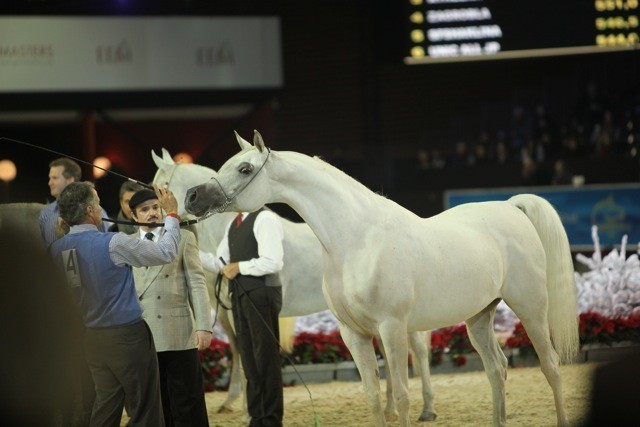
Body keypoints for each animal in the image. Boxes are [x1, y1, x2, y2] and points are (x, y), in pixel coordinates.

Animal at [151, 149, 437, 422]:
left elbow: (245, 357)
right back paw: (389, 409)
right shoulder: (228, 313)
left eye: (163, 185)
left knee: (419, 350)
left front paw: (246, 412)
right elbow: (238, 354)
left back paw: (427, 409)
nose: (191, 198)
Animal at [184, 131, 579, 427]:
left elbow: (401, 394)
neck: (357, 239)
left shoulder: (391, 327)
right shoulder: (353, 333)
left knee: (551, 367)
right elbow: (373, 396)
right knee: (497, 370)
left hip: (531, 308)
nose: (192, 197)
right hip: (479, 317)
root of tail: (511, 207)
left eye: (245, 168)